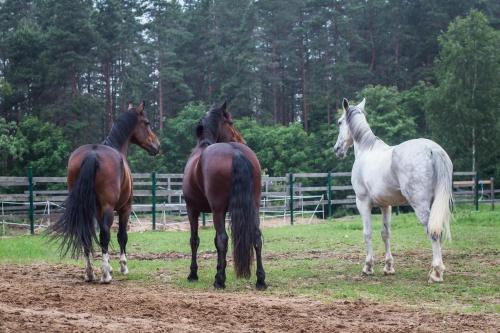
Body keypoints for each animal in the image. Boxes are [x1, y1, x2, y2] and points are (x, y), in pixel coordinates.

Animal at [48, 101, 159, 282]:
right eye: (147, 123)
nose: (157, 146)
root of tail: (93, 154)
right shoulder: (124, 208)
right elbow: (121, 236)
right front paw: (122, 266)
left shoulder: (98, 210)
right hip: (109, 207)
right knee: (106, 234)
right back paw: (106, 274)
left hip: (86, 208)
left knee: (85, 235)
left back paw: (90, 273)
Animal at [183, 102, 268, 290]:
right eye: (231, 123)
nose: (241, 140)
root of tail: (235, 152)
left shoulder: (192, 209)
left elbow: (195, 240)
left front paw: (193, 274)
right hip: (253, 207)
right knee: (256, 237)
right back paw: (260, 280)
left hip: (218, 210)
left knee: (223, 239)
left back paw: (219, 281)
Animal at [332, 97, 454, 282]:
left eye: (340, 122)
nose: (337, 150)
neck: (367, 150)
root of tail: (432, 149)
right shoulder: (386, 205)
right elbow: (385, 233)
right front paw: (388, 267)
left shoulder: (363, 203)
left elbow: (367, 233)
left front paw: (368, 267)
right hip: (437, 203)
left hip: (420, 205)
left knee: (433, 232)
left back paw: (436, 272)